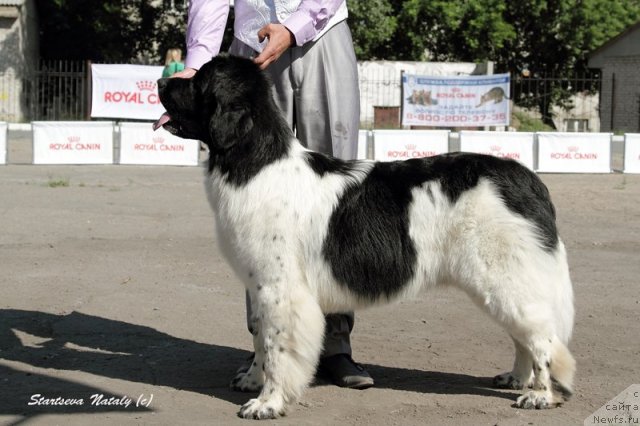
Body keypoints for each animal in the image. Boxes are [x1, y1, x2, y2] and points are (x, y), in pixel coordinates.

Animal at [154, 55, 576, 420]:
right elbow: (260, 337)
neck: (255, 162)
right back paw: (516, 378)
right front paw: (252, 380)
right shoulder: (259, 286)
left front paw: (268, 402)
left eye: (197, 81)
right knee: (524, 332)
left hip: (502, 276)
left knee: (541, 336)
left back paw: (539, 394)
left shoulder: (281, 289)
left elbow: (276, 346)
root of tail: (524, 177)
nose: (159, 81)